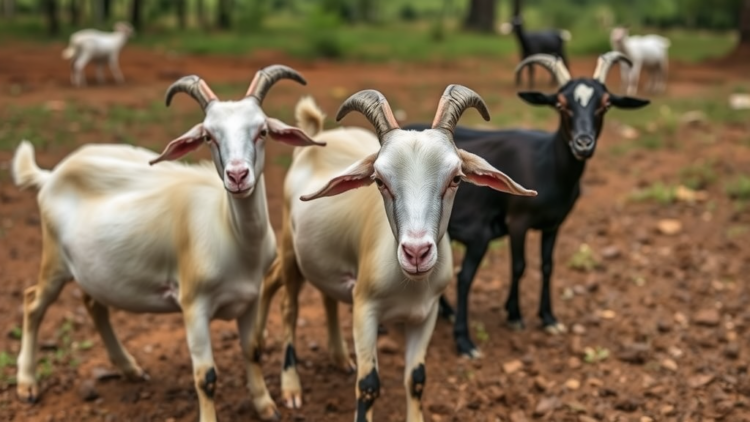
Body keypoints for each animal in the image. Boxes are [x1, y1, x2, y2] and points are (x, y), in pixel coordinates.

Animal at [11, 65, 324, 422]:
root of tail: (51, 176)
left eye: (262, 131)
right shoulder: (193, 304)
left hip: (93, 269)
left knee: (93, 304)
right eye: (208, 136)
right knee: (32, 302)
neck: (233, 236)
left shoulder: (251, 299)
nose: (237, 176)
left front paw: (266, 406)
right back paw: (27, 384)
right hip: (54, 261)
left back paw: (130, 369)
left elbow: (253, 350)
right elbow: (206, 376)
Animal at [256, 87, 536, 421]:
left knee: (322, 295)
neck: (408, 285)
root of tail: (319, 137)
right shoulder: (364, 309)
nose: (416, 252)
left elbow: (416, 378)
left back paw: (337, 357)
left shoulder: (426, 314)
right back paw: (288, 384)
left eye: (456, 178)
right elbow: (368, 385)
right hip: (290, 249)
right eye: (379, 181)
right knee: (288, 306)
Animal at [403, 52, 650, 358]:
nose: (583, 143)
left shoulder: (554, 224)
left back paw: (446, 312)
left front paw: (549, 318)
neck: (548, 165)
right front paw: (515, 315)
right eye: (560, 104)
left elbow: (547, 265)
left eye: (605, 104)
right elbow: (519, 266)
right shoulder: (517, 221)